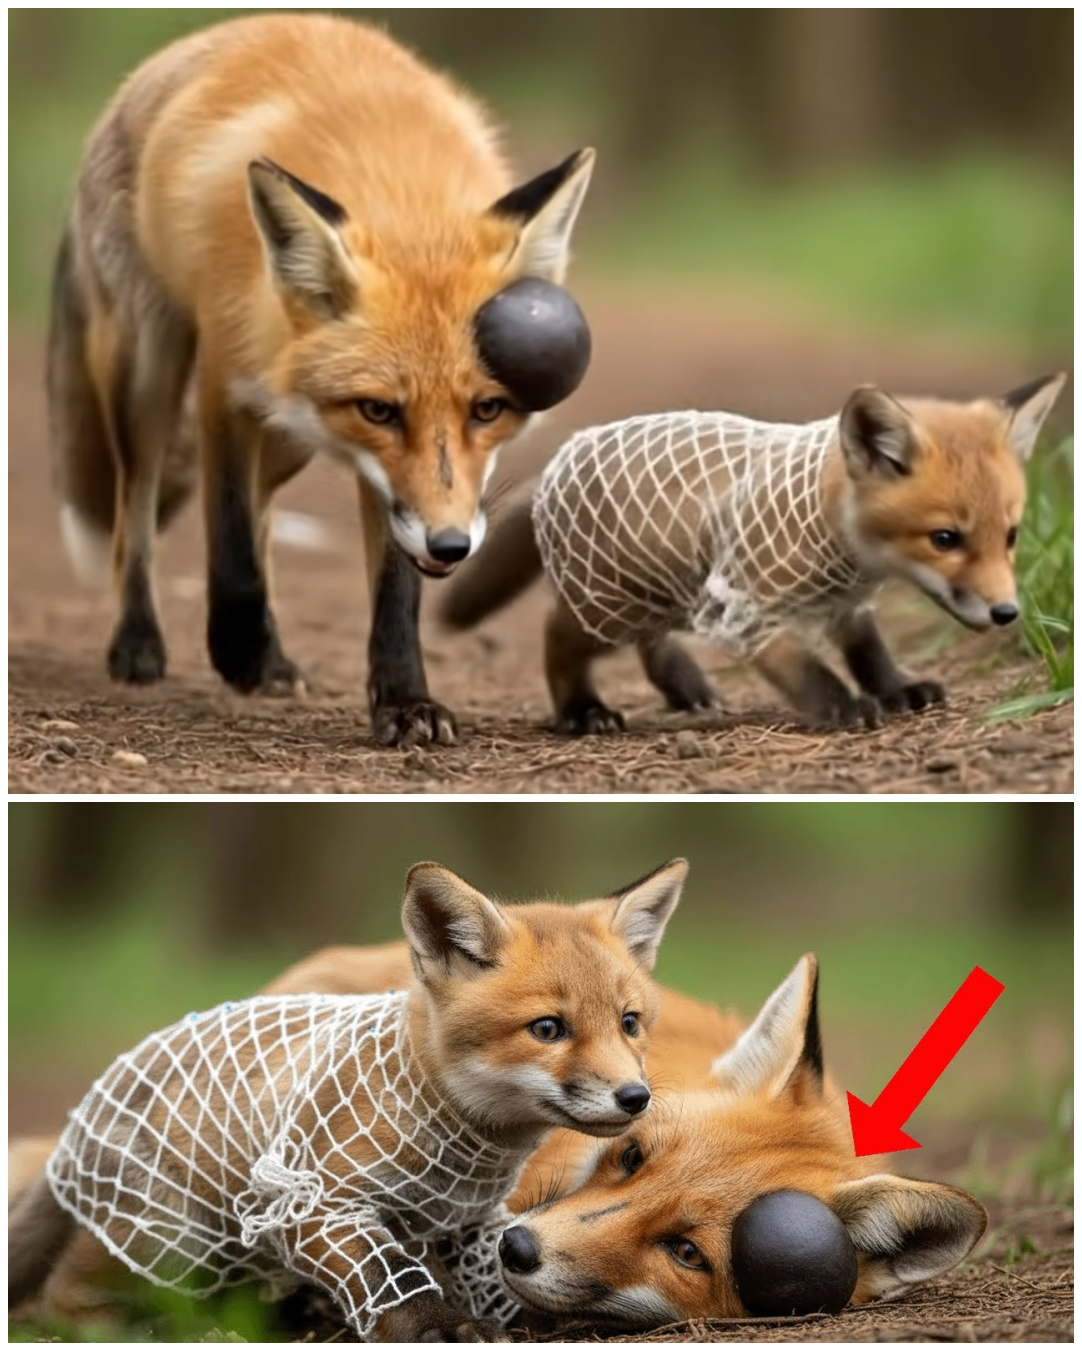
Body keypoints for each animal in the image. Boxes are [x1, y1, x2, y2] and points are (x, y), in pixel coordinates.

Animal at [7, 859, 685, 1342]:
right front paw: (439, 1327)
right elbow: (389, 1275)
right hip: (172, 1240)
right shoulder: (311, 1202)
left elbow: (504, 1270)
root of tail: (91, 1104)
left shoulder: (469, 1217)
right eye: (548, 1029)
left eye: (629, 1023)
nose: (636, 1097)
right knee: (61, 1295)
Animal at [50, 13, 594, 748]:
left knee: (263, 516)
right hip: (150, 368)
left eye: (488, 409)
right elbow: (229, 544)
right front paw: (237, 650)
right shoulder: (225, 379)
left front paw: (405, 701)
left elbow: (392, 591)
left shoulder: (388, 481)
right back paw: (141, 642)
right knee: (134, 514)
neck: (404, 198)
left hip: (290, 442)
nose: (452, 545)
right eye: (380, 409)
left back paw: (273, 655)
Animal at [439, 374, 1066, 734]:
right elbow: (811, 672)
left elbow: (871, 653)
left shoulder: (847, 605)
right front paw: (847, 707)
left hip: (660, 589)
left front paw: (897, 690)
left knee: (653, 643)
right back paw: (581, 710)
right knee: (557, 634)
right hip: (608, 604)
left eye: (1011, 536)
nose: (1007, 613)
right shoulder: (746, 607)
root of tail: (562, 455)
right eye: (945, 539)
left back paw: (683, 687)